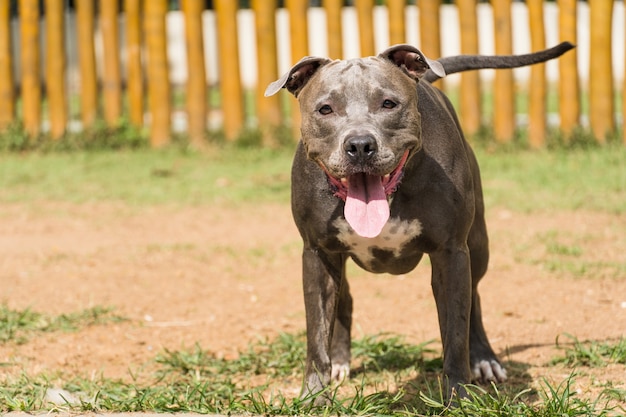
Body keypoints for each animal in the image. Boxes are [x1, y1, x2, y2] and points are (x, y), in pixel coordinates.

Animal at [264, 41, 572, 400]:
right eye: (325, 109)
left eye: (388, 103)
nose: (360, 145)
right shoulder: (317, 254)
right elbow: (316, 336)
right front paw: (314, 397)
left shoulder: (451, 253)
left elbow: (455, 334)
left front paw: (458, 396)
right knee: (344, 300)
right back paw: (341, 360)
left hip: (478, 244)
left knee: (475, 296)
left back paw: (483, 358)